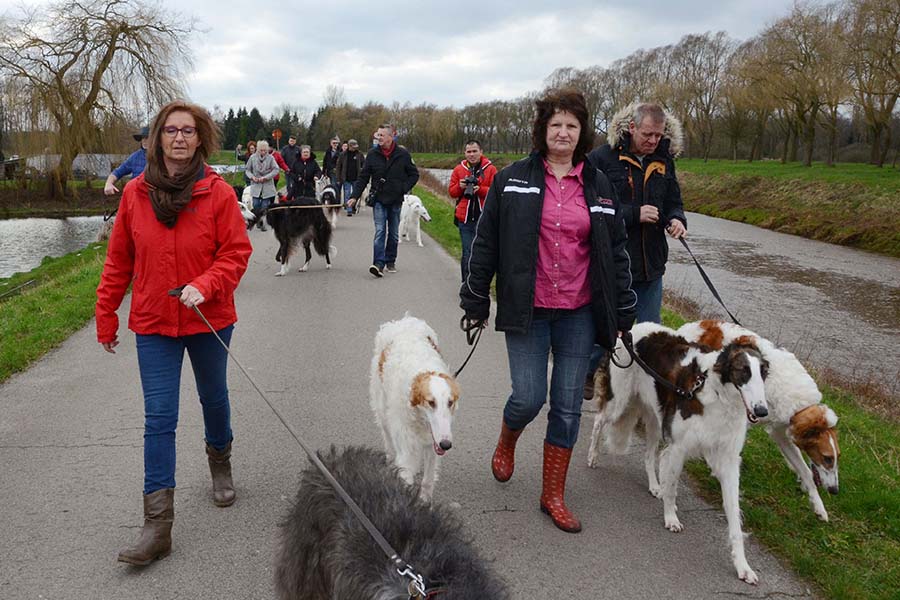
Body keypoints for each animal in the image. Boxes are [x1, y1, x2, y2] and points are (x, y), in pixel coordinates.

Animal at [369, 315, 459, 502]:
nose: (446, 444)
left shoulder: (432, 443)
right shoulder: (406, 445)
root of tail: (405, 319)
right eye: (431, 402)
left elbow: (427, 480)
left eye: (450, 402)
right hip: (382, 410)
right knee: (388, 439)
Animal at [587, 322, 770, 584]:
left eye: (763, 373)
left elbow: (734, 518)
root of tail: (634, 328)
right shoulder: (679, 446)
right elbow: (672, 488)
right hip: (619, 402)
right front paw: (671, 518)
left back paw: (654, 486)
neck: (717, 397)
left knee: (649, 455)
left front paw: (743, 566)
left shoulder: (728, 461)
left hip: (655, 416)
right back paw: (592, 456)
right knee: (599, 420)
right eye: (743, 371)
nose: (761, 410)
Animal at [677, 319, 840, 521]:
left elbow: (806, 472)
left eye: (837, 457)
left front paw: (819, 507)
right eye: (827, 458)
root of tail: (695, 324)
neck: (800, 405)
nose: (834, 490)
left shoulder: (780, 433)